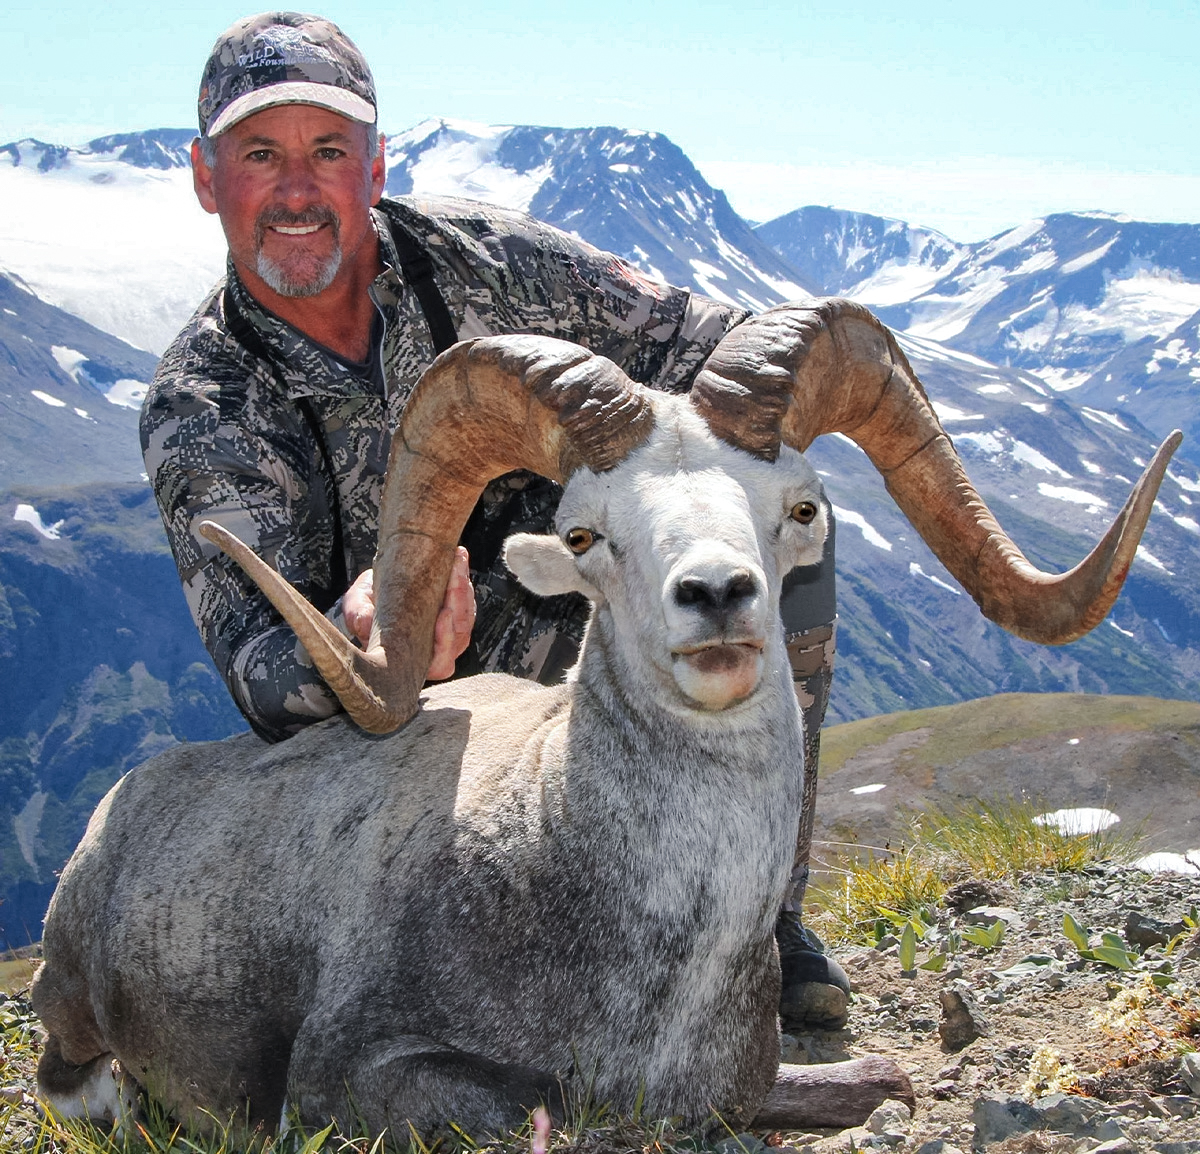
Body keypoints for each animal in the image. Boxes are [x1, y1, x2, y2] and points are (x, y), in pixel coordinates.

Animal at [30, 297, 1180, 1132]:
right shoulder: (364, 1076)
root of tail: (115, 816)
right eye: (584, 533)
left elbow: (876, 1080)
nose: (717, 596)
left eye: (798, 508)